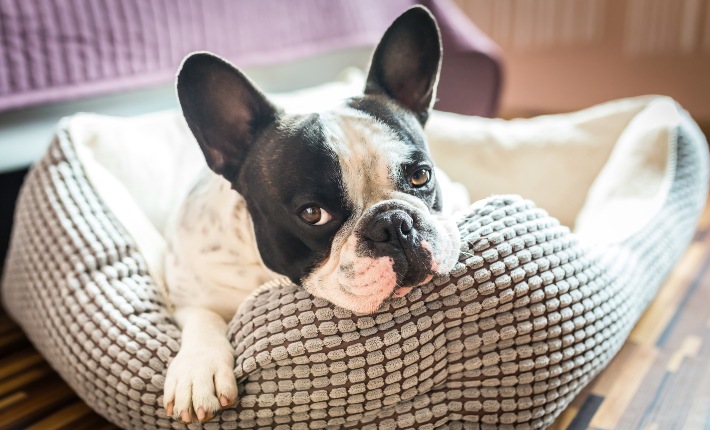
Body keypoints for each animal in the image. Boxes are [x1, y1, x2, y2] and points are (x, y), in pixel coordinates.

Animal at [164, 6, 468, 424]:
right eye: (312, 214)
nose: (394, 224)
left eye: (421, 176)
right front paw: (198, 368)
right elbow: (203, 315)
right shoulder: (183, 287)